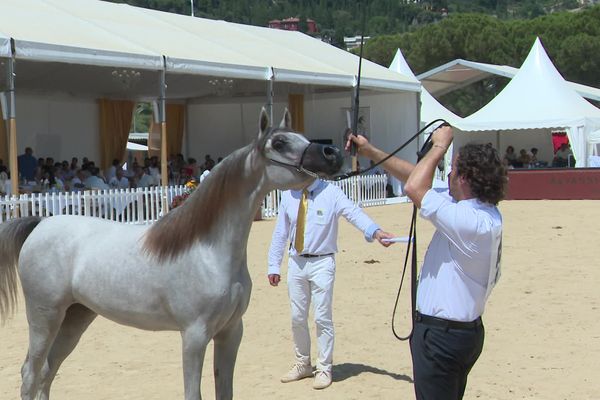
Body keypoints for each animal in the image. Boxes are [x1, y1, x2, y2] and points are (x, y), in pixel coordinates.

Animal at [0, 108, 342, 398]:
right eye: (280, 142)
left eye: (302, 136)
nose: (333, 154)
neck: (209, 252)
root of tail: (40, 223)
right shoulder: (194, 336)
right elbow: (194, 393)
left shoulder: (231, 332)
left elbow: (225, 390)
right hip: (45, 316)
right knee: (30, 373)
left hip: (75, 317)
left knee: (47, 372)